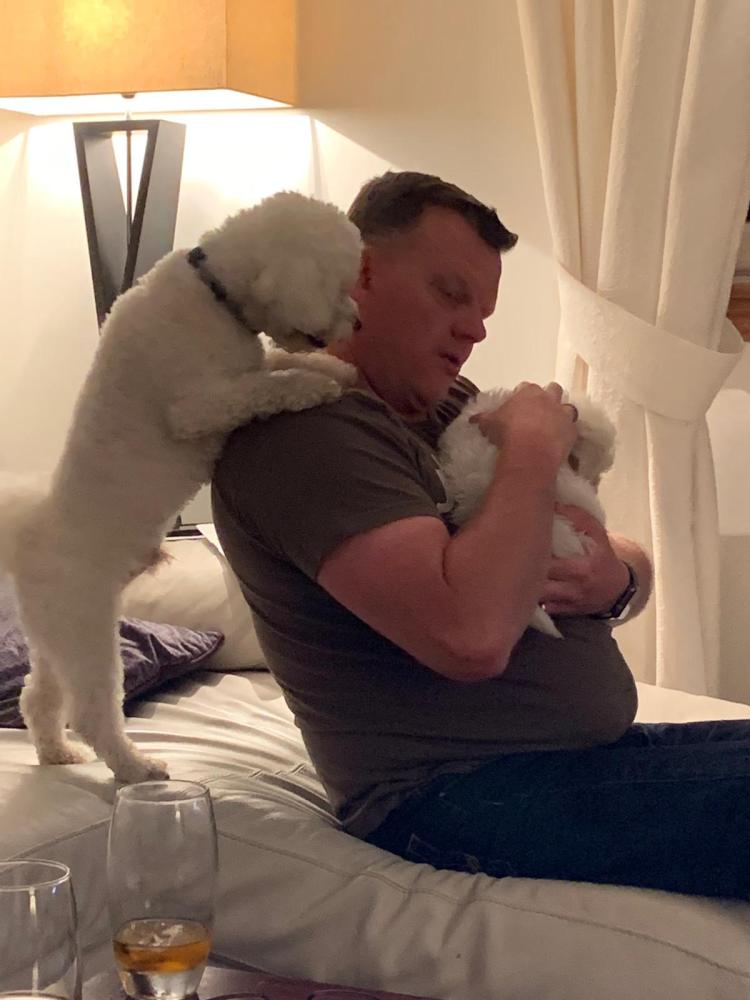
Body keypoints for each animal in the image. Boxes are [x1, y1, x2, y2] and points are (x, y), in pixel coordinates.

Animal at [0, 191, 361, 782]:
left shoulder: (248, 359)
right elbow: (266, 383)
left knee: (39, 697)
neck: (213, 292)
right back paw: (136, 767)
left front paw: (334, 369)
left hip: (52, 638)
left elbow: (275, 359)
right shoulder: (199, 406)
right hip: (86, 631)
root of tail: (32, 536)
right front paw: (314, 384)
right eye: (340, 284)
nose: (356, 322)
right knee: (92, 710)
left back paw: (58, 754)